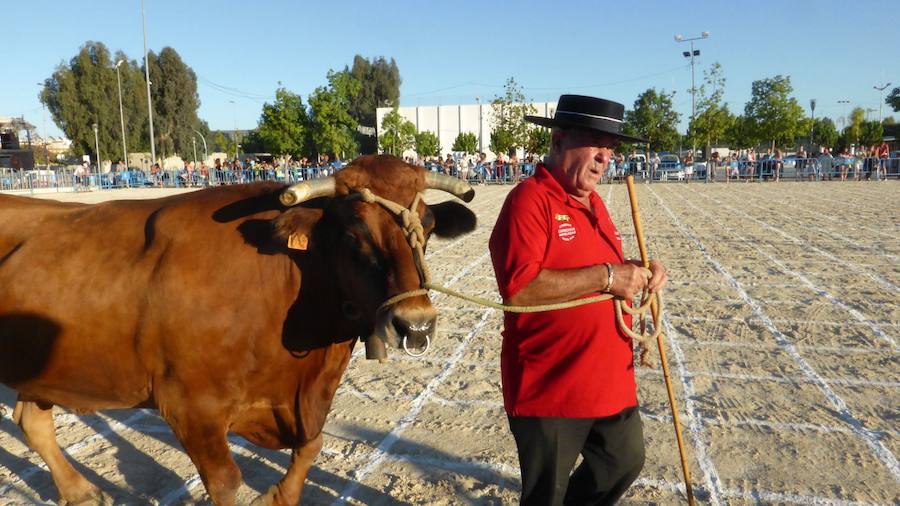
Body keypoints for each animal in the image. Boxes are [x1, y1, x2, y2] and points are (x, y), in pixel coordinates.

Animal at [0, 155, 477, 505]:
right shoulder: (190, 406)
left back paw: (81, 492)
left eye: (428, 228)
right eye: (353, 231)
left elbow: (312, 446)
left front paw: (278, 496)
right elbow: (226, 481)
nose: (416, 323)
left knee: (31, 422)